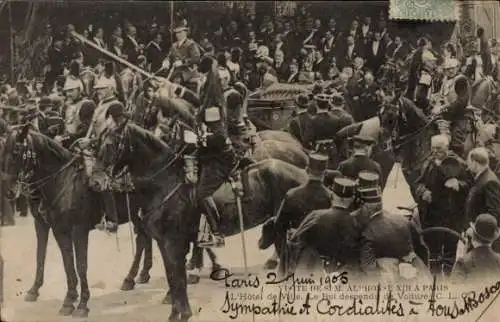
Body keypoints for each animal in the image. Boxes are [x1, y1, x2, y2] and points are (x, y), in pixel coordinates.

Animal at [97, 120, 308, 320]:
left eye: (109, 143)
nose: (99, 179)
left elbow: (177, 277)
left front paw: (182, 311)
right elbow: (172, 276)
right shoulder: (164, 242)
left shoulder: (173, 242)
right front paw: (176, 310)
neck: (165, 183)